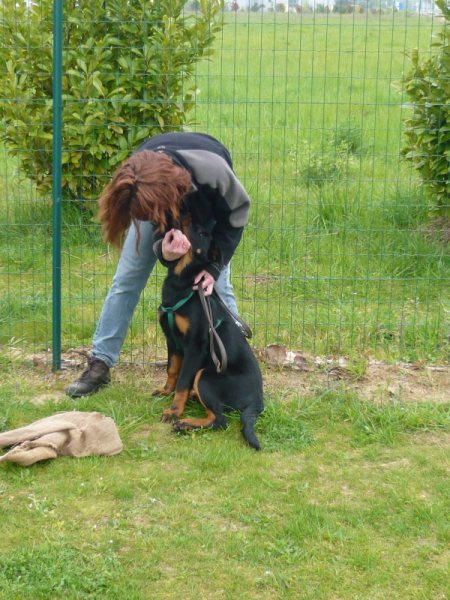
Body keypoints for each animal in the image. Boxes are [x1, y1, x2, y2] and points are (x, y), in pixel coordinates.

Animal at [155, 223, 264, 448]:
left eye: (202, 233)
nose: (180, 224)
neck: (183, 283)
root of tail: (258, 400)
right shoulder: (172, 341)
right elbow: (172, 370)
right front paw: (166, 391)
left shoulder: (194, 348)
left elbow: (182, 382)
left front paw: (174, 412)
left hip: (205, 375)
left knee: (220, 420)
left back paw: (185, 424)